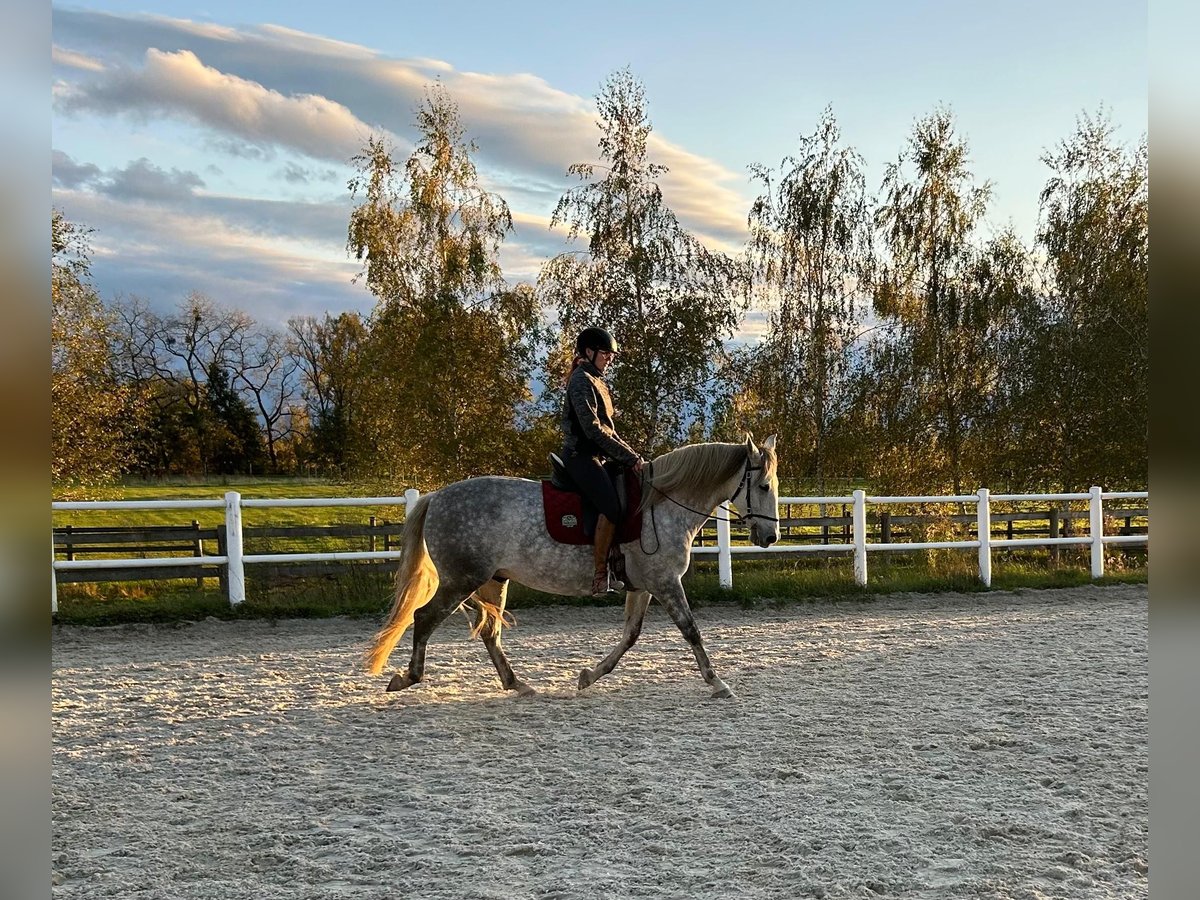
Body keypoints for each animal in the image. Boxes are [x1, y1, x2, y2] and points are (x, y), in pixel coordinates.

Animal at [362, 434, 777, 700]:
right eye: (764, 486)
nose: (770, 536)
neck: (659, 506)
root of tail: (436, 497)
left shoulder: (643, 586)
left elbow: (630, 636)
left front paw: (589, 676)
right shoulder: (665, 582)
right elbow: (691, 631)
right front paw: (717, 683)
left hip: (492, 581)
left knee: (490, 633)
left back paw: (518, 685)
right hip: (461, 580)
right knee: (424, 618)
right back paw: (406, 678)